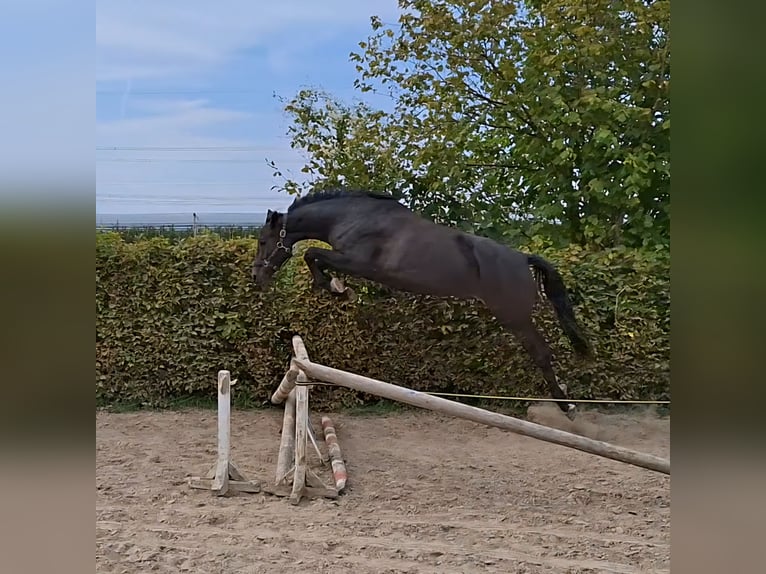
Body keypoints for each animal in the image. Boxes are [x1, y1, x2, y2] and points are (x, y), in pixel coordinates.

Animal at [251, 189, 591, 419]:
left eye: (263, 241)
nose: (257, 276)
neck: (352, 217)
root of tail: (522, 258)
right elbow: (315, 257)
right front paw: (337, 288)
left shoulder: (358, 262)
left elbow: (313, 255)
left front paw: (337, 288)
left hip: (515, 317)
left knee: (542, 355)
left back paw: (567, 406)